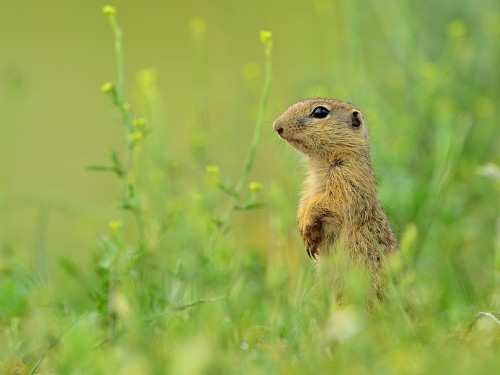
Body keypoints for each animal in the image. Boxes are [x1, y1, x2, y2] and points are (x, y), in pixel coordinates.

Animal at [274, 98, 398, 298]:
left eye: (320, 112)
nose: (276, 126)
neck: (320, 163)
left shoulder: (347, 181)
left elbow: (328, 203)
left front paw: (307, 228)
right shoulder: (309, 189)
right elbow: (304, 203)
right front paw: (302, 228)